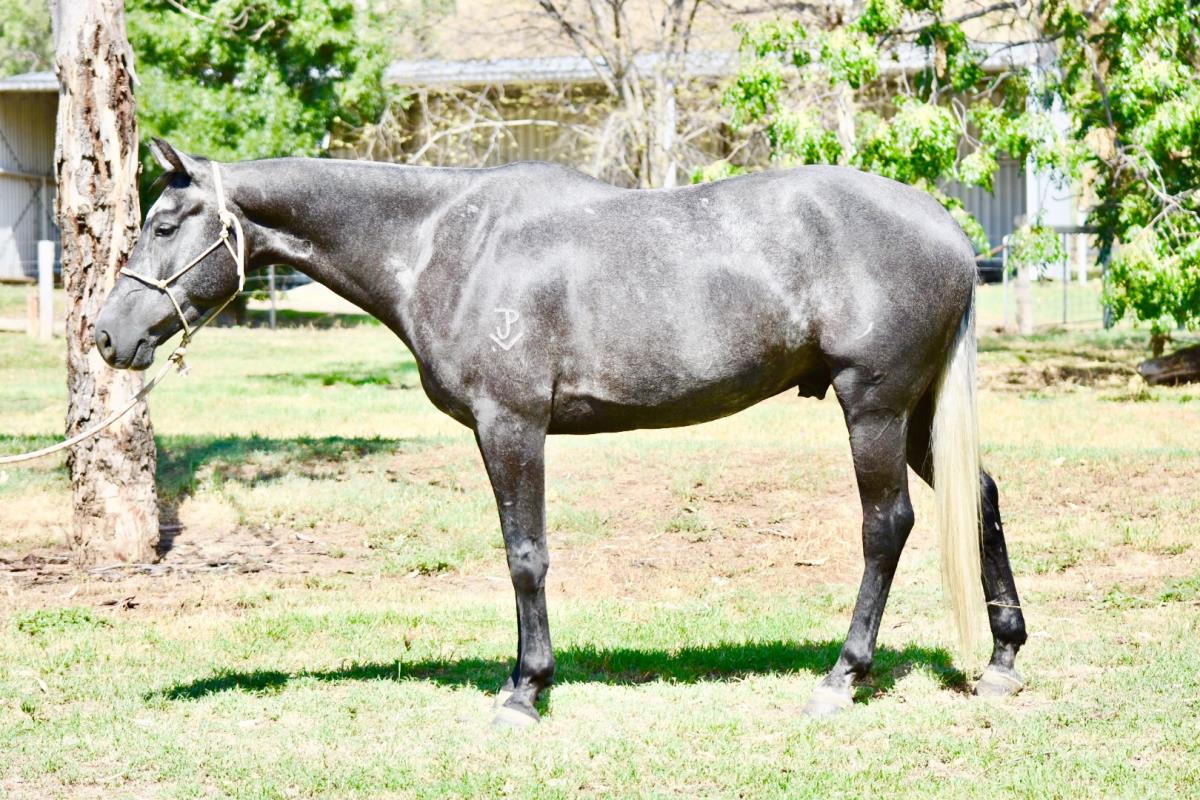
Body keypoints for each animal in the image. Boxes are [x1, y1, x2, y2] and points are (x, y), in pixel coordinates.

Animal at [95, 139, 1027, 726]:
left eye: (165, 226)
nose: (107, 335)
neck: (441, 242)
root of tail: (947, 229)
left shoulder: (511, 425)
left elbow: (525, 556)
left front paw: (525, 691)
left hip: (873, 407)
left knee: (887, 526)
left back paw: (842, 676)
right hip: (916, 414)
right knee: (981, 496)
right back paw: (1004, 660)